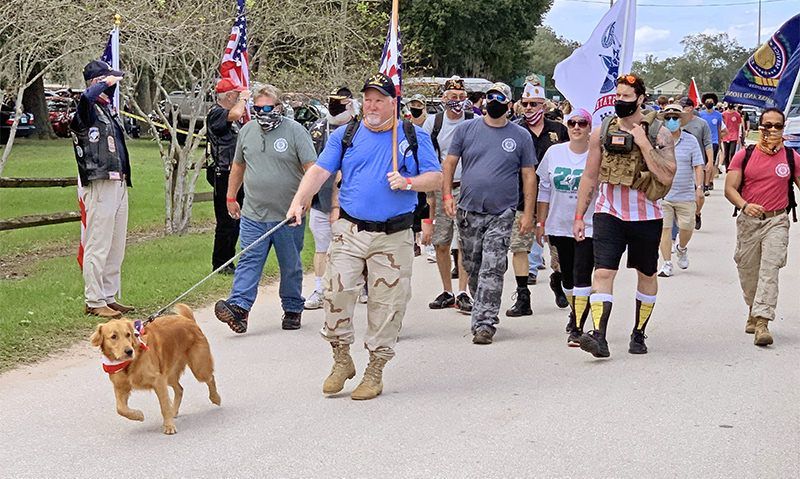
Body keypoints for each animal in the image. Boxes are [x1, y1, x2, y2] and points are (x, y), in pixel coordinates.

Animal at [90, 306, 220, 436]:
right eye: (113, 336)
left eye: (128, 335)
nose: (129, 351)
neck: (130, 362)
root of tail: (189, 320)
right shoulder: (120, 387)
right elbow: (121, 409)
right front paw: (138, 415)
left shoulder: (158, 381)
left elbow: (164, 406)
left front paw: (169, 426)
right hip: (169, 374)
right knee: (180, 389)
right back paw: (174, 411)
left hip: (199, 368)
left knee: (210, 378)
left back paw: (215, 398)